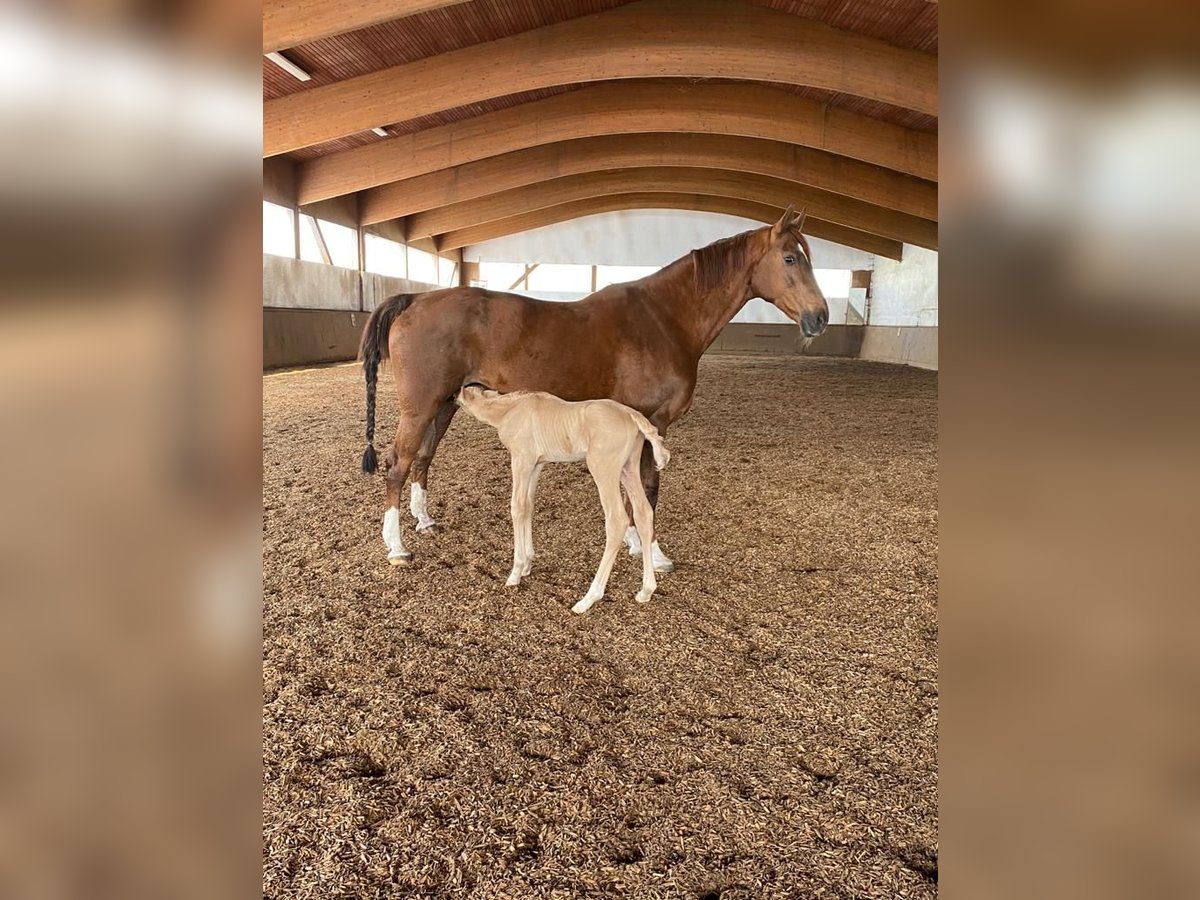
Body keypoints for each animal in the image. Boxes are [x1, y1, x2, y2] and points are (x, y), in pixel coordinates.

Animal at [456, 384, 672, 619]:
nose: (452, 400)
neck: (511, 409)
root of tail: (632, 415)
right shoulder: (537, 464)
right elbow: (528, 506)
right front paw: (527, 565)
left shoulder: (522, 460)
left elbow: (517, 507)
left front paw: (515, 572)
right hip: (628, 468)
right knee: (644, 513)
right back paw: (646, 591)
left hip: (603, 469)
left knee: (617, 520)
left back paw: (588, 599)